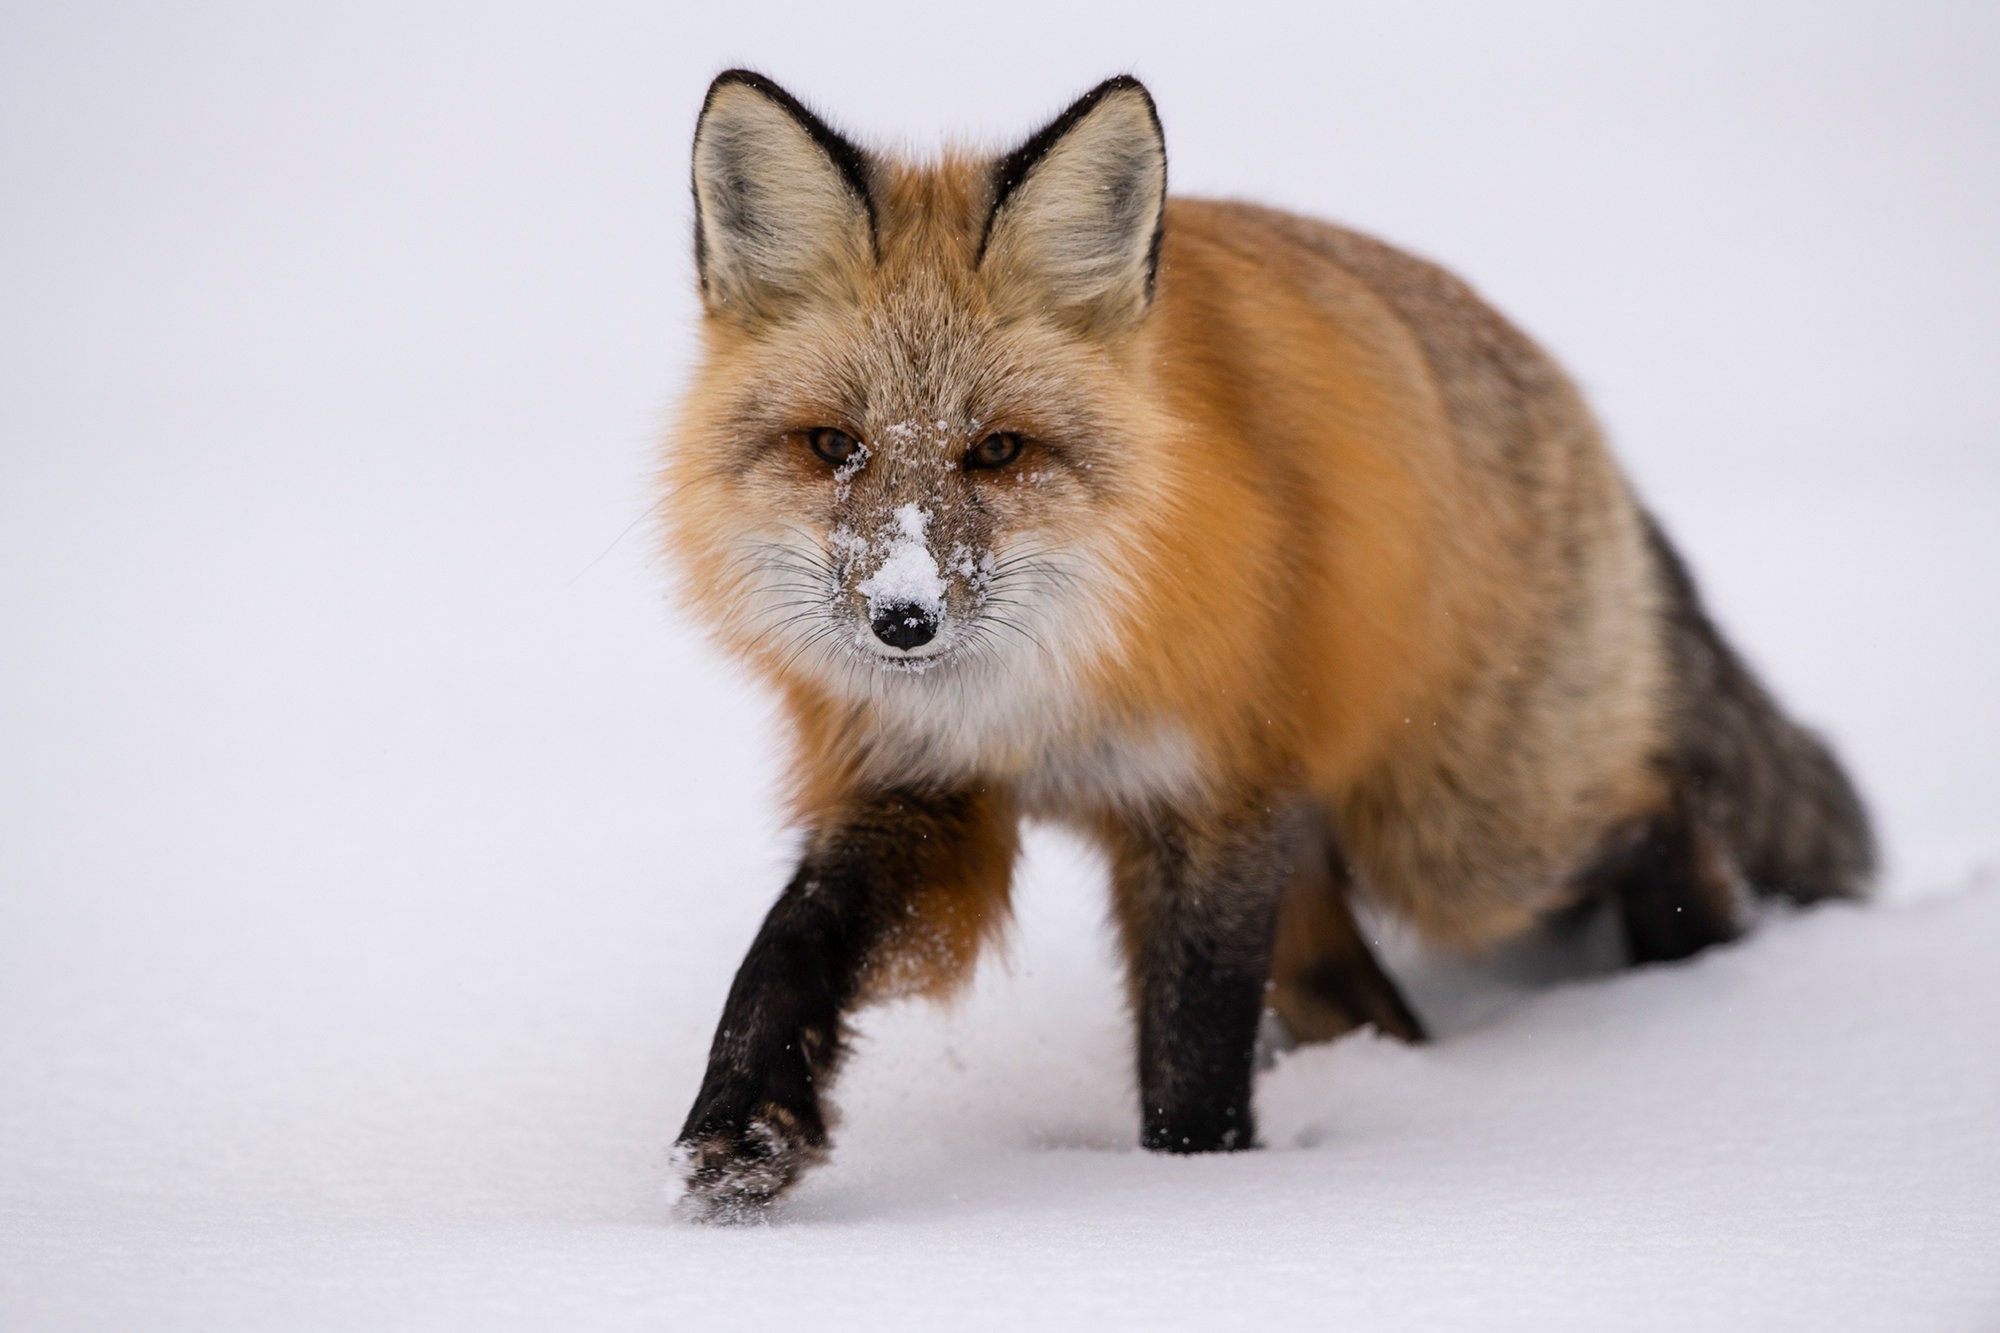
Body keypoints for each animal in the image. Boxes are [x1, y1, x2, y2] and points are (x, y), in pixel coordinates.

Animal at [659, 69, 1875, 1220]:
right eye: (833, 446)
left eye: (998, 451)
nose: (902, 620)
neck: (1036, 702)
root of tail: (1579, 409)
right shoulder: (924, 790)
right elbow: (790, 945)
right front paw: (742, 1124)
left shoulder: (1216, 801)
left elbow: (1193, 1055)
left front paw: (1201, 1197)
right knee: (1376, 1001)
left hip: (1462, 837)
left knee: (1661, 797)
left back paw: (1700, 973)